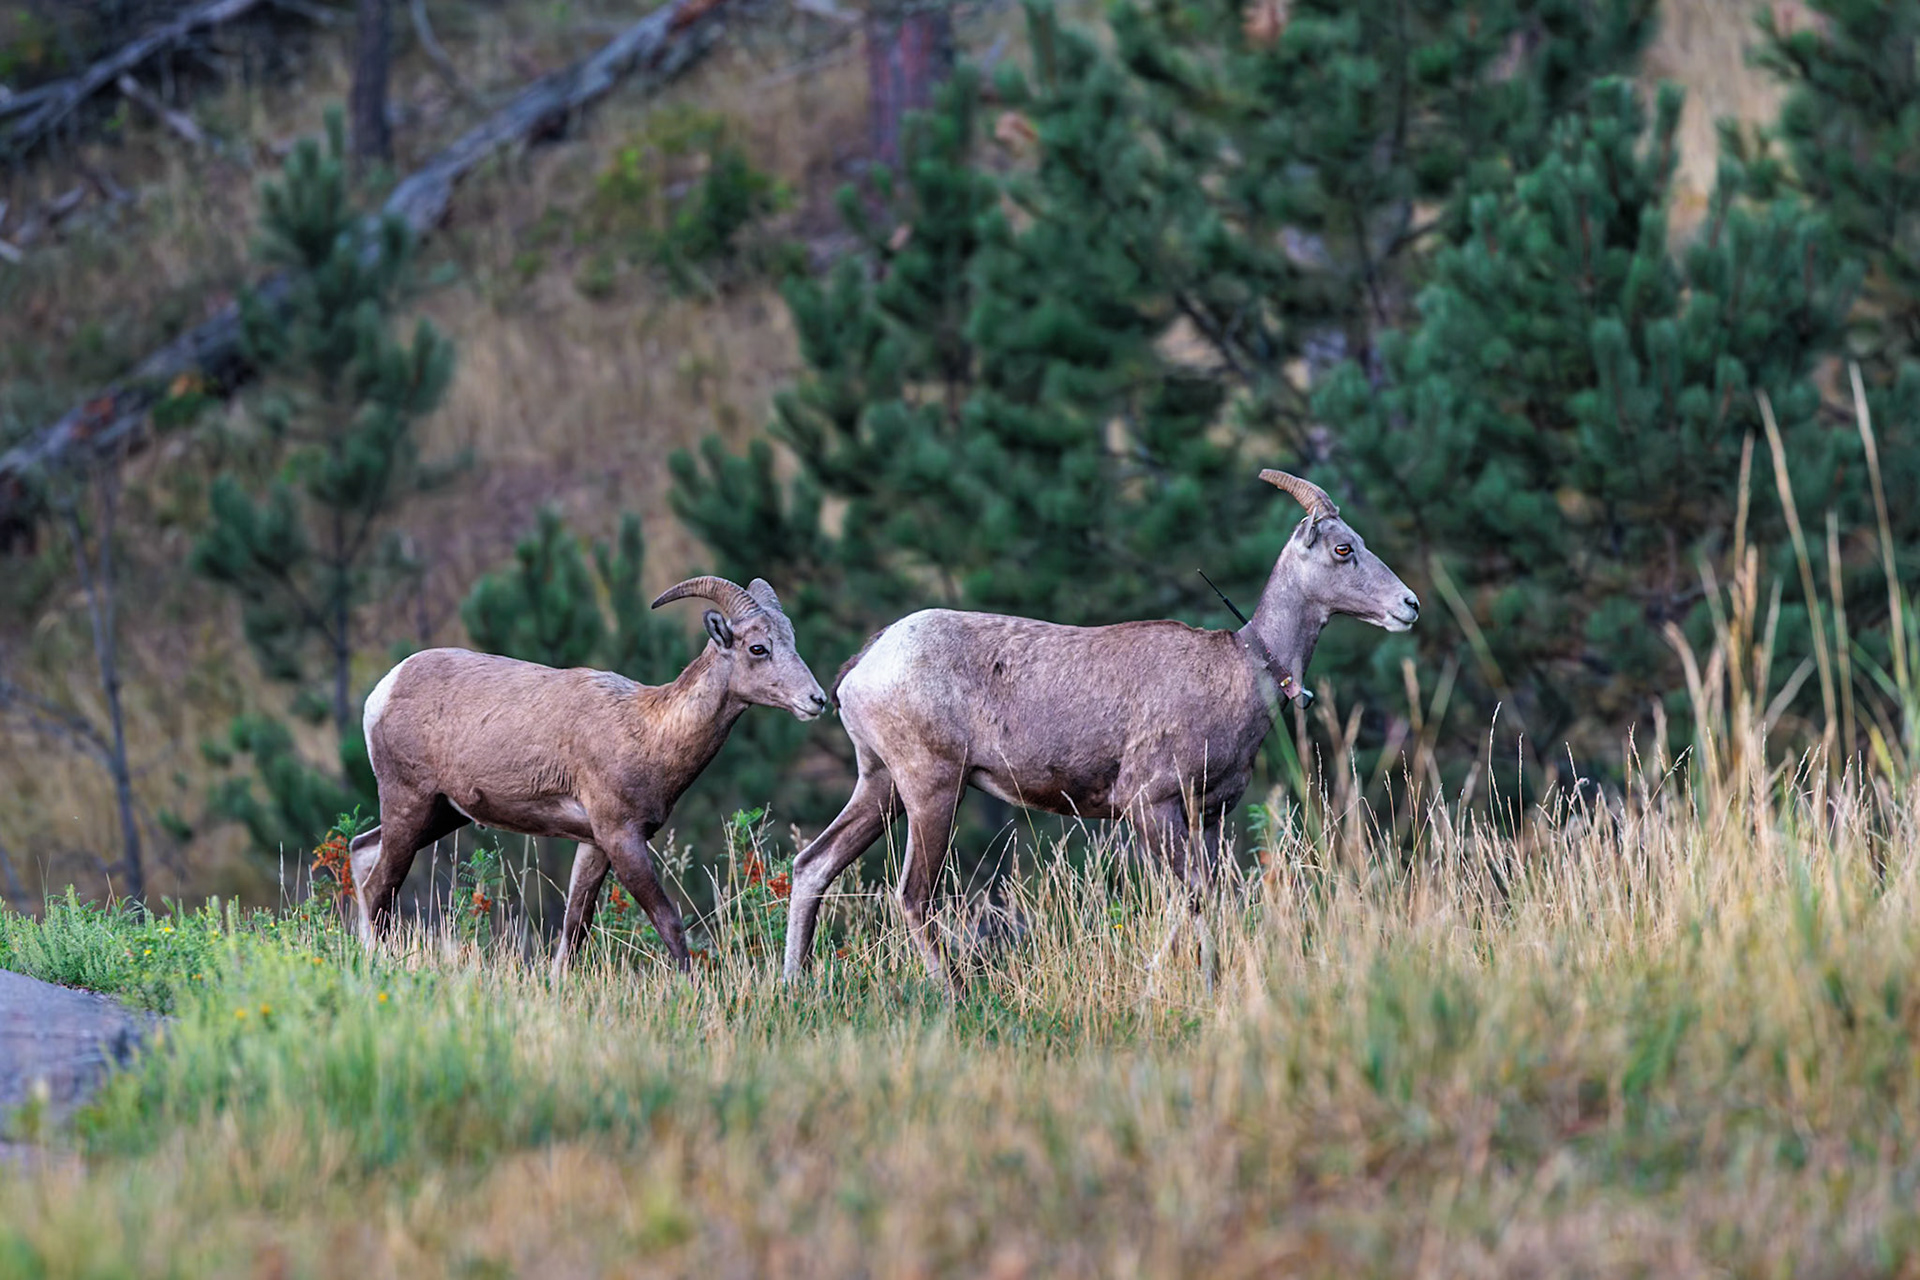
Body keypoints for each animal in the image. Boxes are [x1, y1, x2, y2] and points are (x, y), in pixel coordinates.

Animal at [348, 575, 829, 975]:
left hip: (442, 814)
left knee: (362, 852)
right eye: (757, 648)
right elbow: (669, 922)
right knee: (378, 887)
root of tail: (383, 691)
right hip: (409, 804)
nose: (817, 700)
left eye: (790, 640)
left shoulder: (594, 844)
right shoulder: (622, 838)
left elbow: (575, 926)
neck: (650, 730)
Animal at [781, 469, 1420, 983]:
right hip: (931, 789)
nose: (1409, 605)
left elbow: (1203, 900)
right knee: (913, 896)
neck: (1240, 668)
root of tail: (865, 663)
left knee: (813, 866)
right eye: (1343, 549)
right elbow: (1189, 899)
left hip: (882, 785)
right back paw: (957, 995)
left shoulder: (1208, 816)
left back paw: (795, 988)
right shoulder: (1149, 805)